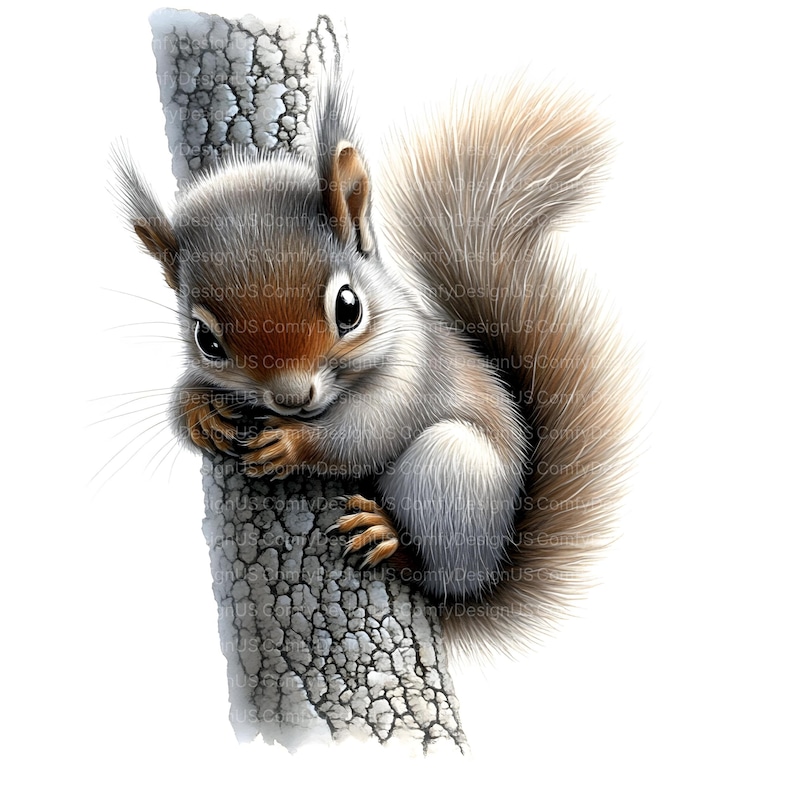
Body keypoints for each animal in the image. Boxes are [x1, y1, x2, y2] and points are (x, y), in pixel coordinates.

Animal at [114, 74, 637, 655]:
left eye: (349, 307)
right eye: (205, 339)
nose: (292, 400)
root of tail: (489, 576)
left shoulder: (414, 365)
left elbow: (370, 430)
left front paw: (291, 444)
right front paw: (199, 410)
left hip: (450, 473)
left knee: (438, 573)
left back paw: (388, 537)